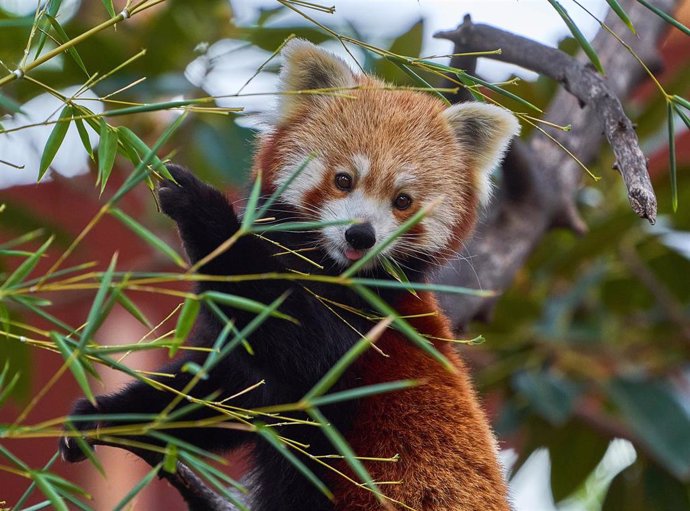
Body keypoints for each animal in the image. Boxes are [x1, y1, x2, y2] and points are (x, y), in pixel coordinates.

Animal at [61, 39, 516, 511]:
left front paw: (203, 208)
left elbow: (309, 347)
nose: (361, 235)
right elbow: (218, 395)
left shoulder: (369, 329)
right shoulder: (252, 371)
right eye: (343, 179)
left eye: (403, 201)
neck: (328, 267)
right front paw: (108, 418)